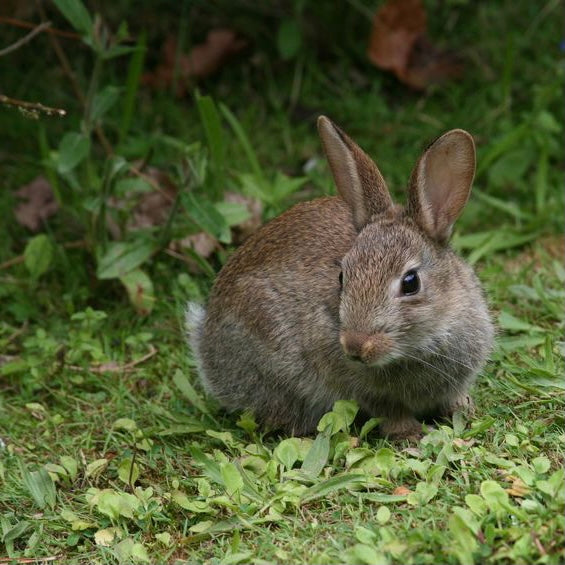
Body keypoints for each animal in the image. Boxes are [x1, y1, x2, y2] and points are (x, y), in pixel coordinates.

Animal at [186, 115, 494, 440]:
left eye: (411, 282)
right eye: (342, 277)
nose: (356, 345)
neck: (420, 345)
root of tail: (204, 341)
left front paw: (463, 409)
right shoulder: (362, 387)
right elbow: (390, 411)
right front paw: (411, 434)